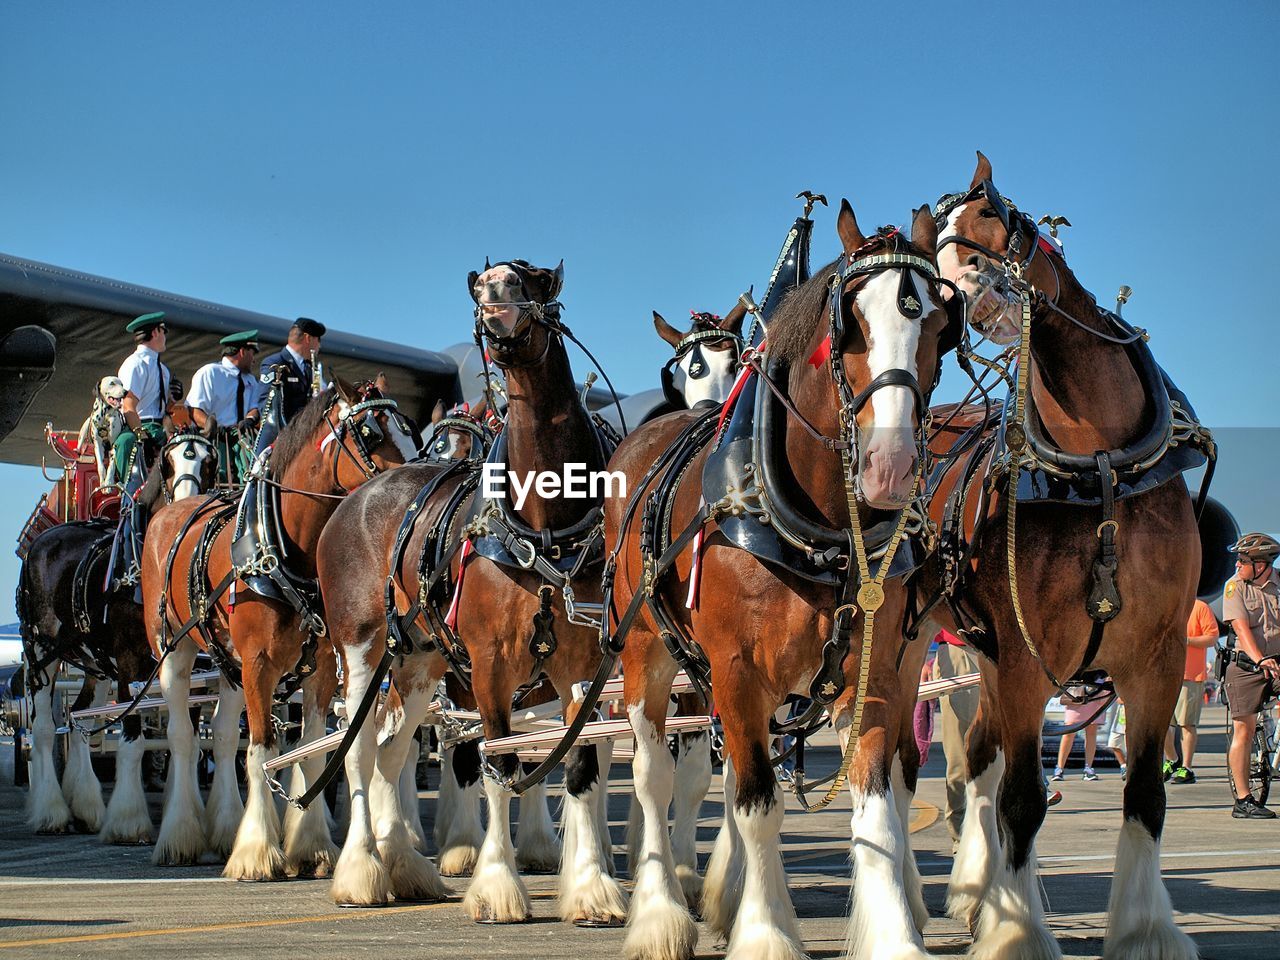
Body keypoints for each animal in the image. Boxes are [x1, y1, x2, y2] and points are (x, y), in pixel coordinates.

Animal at [142, 378, 417, 875]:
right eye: (370, 433)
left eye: (410, 429)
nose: (414, 487)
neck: (285, 550)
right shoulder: (260, 664)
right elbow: (261, 752)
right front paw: (257, 852)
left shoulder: (322, 666)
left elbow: (310, 750)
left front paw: (311, 845)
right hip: (172, 650)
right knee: (184, 737)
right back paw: (180, 836)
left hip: (229, 663)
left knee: (223, 735)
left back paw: (224, 828)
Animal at [604, 203, 957, 960]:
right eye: (849, 323)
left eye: (942, 323)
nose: (890, 467)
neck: (818, 530)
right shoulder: (736, 670)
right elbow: (757, 808)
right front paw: (766, 934)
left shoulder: (876, 673)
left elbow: (877, 812)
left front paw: (893, 934)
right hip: (645, 650)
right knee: (653, 779)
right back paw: (660, 913)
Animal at [926, 152, 1203, 960]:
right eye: (934, 245)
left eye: (994, 219)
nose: (965, 300)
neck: (1100, 463)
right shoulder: (1025, 652)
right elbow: (1021, 799)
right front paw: (1017, 933)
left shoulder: (1158, 654)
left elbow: (1145, 793)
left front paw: (1144, 930)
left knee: (979, 754)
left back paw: (974, 890)